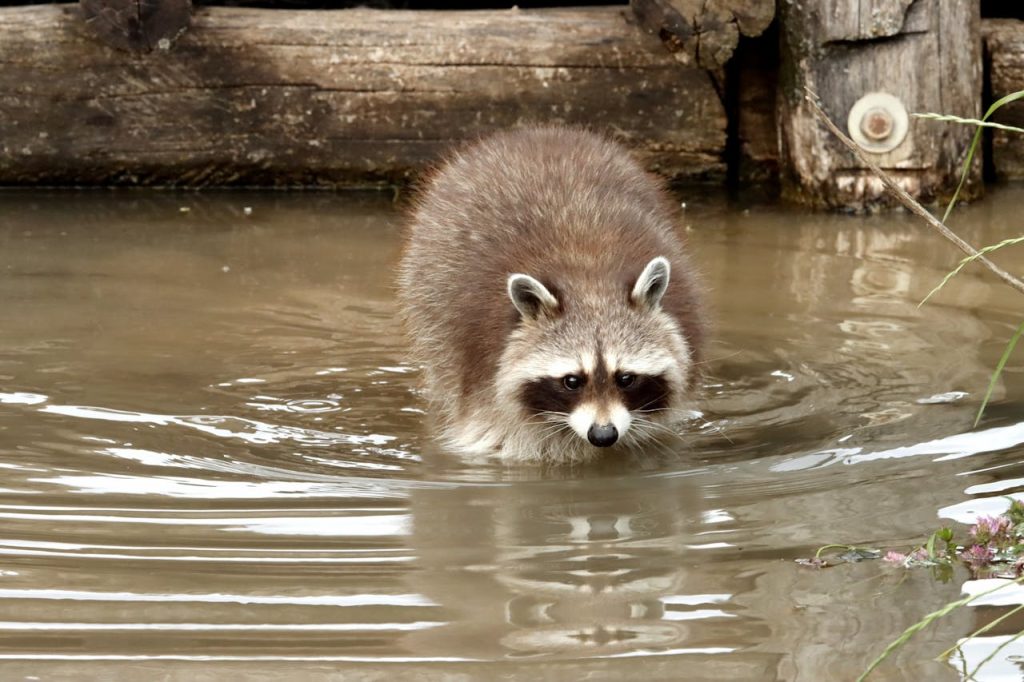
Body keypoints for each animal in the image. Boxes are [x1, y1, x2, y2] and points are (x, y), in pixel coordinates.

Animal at [397, 127, 705, 464]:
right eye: (572, 381)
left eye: (625, 378)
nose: (603, 435)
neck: (589, 283)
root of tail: (535, 133)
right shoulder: (484, 382)